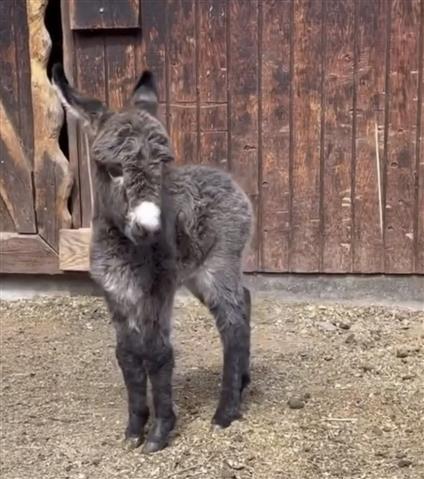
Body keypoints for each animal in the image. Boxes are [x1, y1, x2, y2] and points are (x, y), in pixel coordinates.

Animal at [52, 64, 252, 454]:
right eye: (113, 169)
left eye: (163, 163)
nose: (149, 226)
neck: (128, 249)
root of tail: (226, 177)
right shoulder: (116, 294)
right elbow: (128, 356)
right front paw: (134, 429)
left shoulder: (158, 290)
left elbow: (158, 353)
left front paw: (160, 432)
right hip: (198, 274)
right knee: (245, 300)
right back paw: (243, 382)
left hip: (218, 265)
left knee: (233, 321)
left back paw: (225, 412)